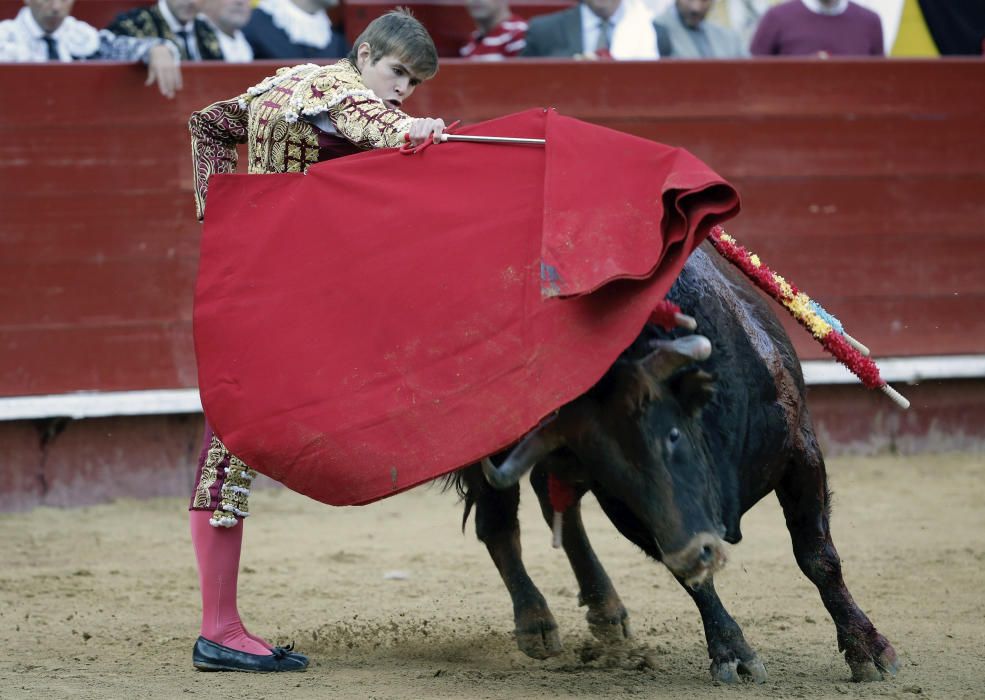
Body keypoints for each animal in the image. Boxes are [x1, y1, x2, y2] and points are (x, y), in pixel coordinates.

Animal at [454, 241, 900, 684]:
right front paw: (733, 653)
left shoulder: (799, 452)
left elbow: (817, 555)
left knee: (549, 501)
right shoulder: (630, 511)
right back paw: (536, 622)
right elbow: (693, 578)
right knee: (498, 521)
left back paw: (605, 610)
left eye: (672, 435)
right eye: (608, 471)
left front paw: (868, 648)